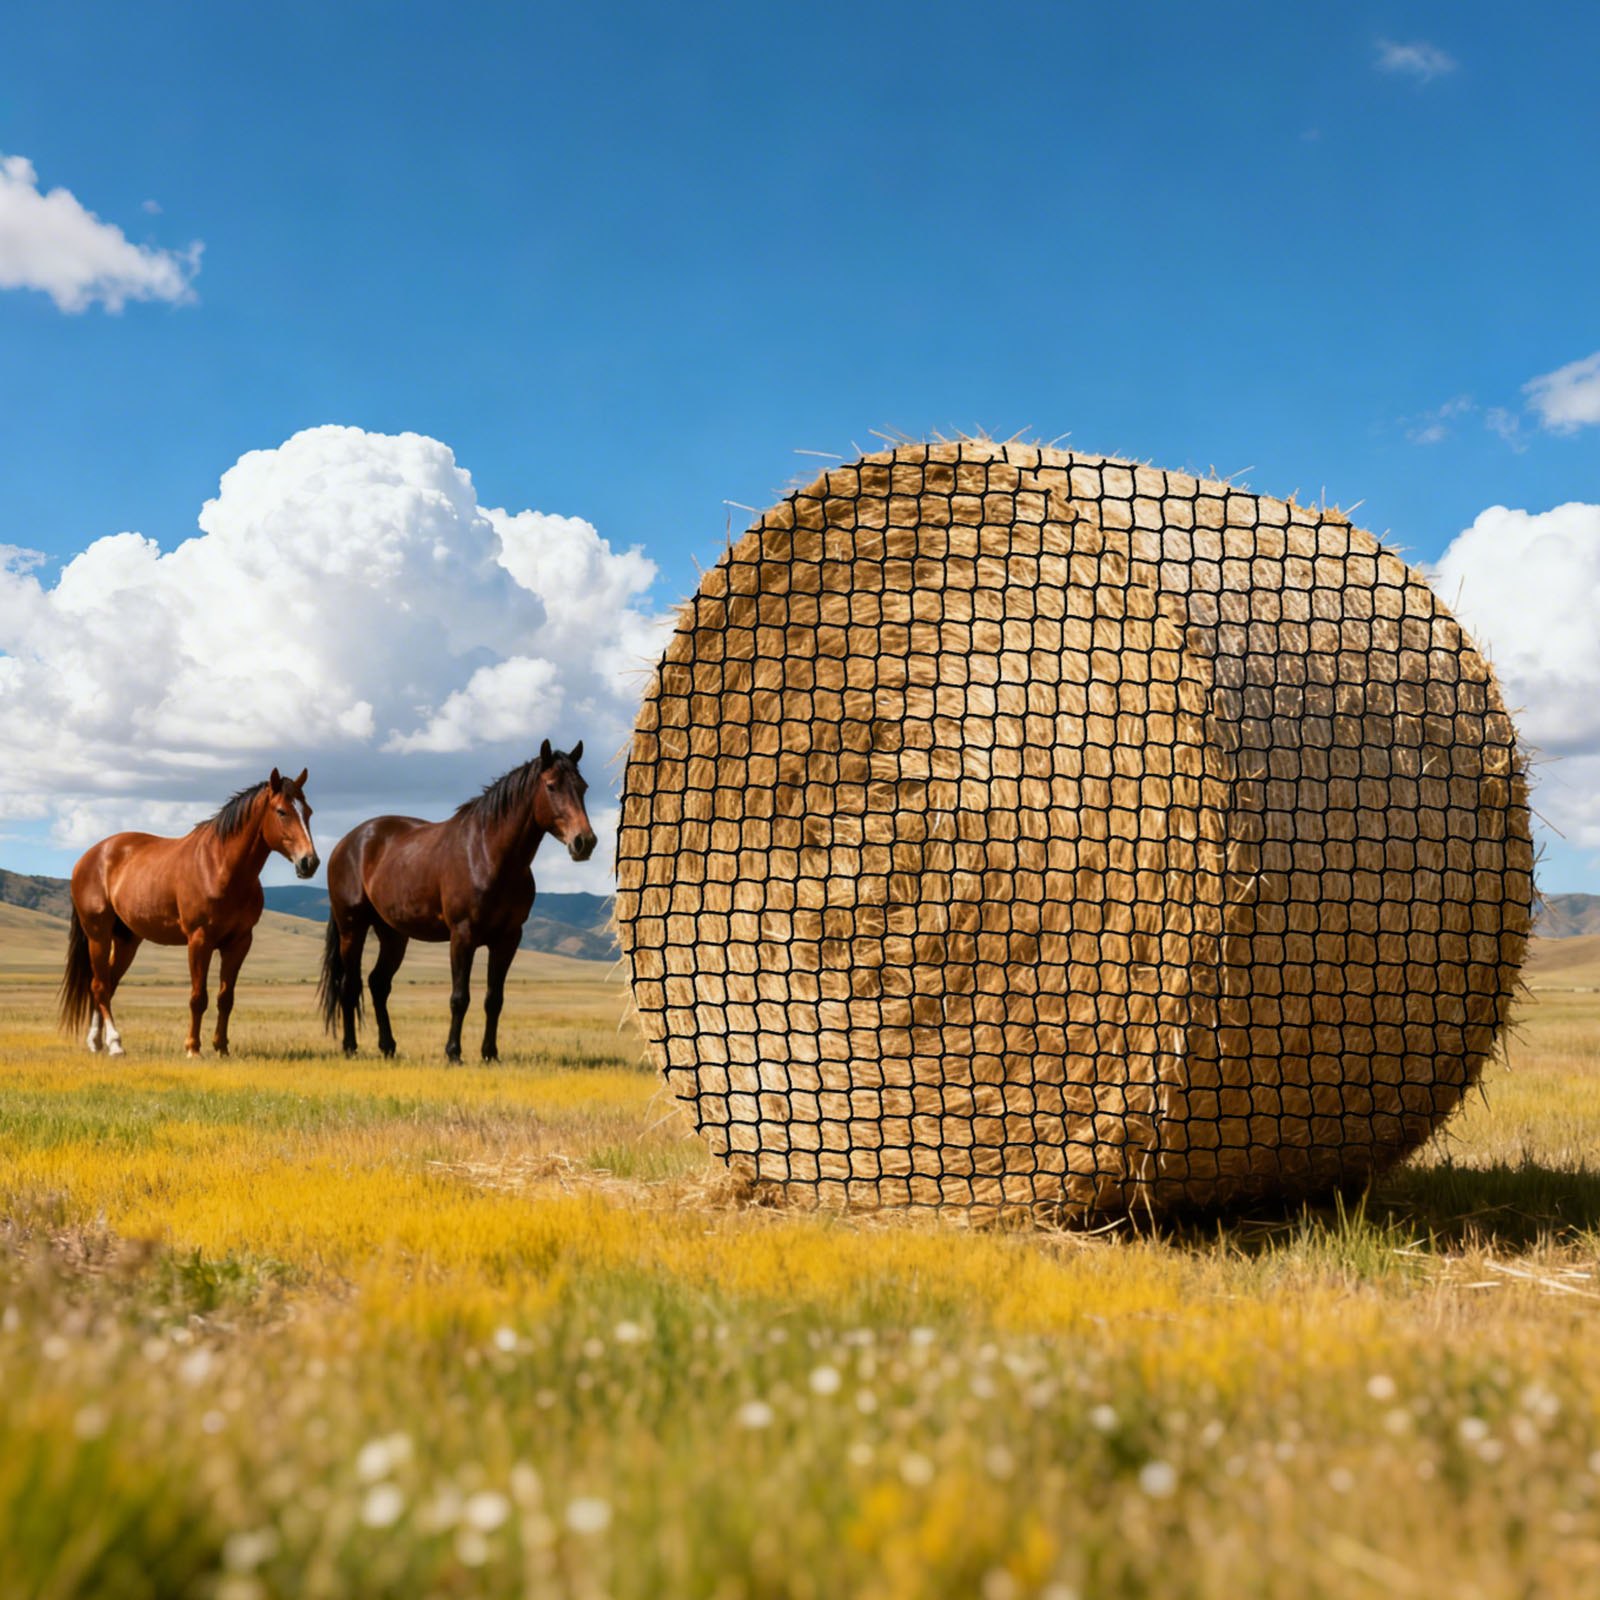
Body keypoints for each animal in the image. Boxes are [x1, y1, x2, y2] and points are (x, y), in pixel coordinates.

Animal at [59, 769, 319, 1058]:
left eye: (308, 811)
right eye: (281, 811)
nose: (309, 862)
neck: (219, 867)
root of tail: (88, 857)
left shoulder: (239, 942)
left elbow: (225, 998)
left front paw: (222, 1047)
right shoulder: (199, 940)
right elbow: (198, 997)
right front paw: (193, 1048)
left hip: (127, 940)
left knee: (105, 983)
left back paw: (96, 1042)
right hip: (98, 935)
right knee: (101, 987)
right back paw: (115, 1044)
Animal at [318, 740, 596, 1062]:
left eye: (583, 787)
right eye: (551, 786)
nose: (585, 842)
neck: (488, 854)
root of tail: (347, 843)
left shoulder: (508, 939)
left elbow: (494, 999)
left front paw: (490, 1053)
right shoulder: (462, 936)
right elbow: (459, 998)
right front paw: (453, 1053)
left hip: (393, 934)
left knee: (378, 984)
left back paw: (388, 1046)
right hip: (353, 928)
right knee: (349, 986)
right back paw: (350, 1046)